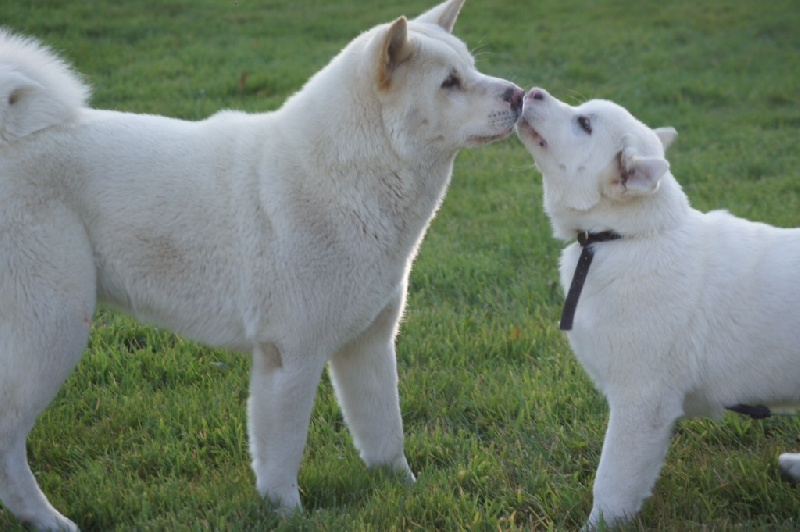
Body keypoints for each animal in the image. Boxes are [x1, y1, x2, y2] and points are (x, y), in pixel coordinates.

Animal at [0, 2, 524, 528]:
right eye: (449, 82)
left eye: (471, 69)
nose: (520, 94)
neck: (345, 180)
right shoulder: (290, 355)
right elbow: (284, 452)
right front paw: (288, 513)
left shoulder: (369, 346)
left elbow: (385, 435)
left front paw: (407, 491)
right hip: (53, 327)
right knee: (8, 442)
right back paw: (49, 520)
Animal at [516, 88, 800, 528]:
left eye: (584, 124)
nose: (532, 92)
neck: (625, 236)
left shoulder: (641, 400)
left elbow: (613, 481)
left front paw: (598, 526)